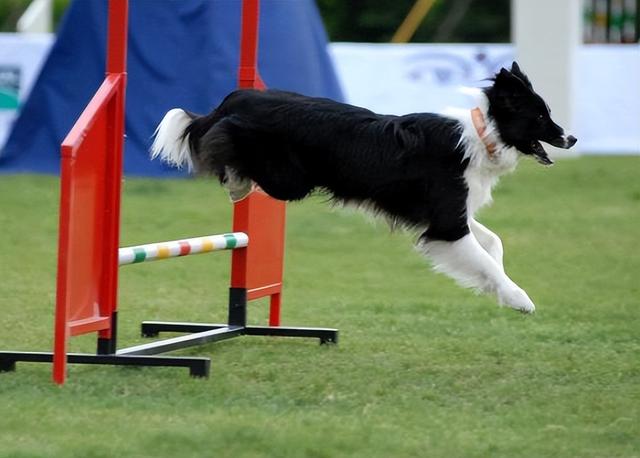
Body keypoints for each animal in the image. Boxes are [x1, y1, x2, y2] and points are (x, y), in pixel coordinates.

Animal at [152, 62, 576, 314]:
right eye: (540, 117)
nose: (571, 138)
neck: (483, 135)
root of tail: (238, 97)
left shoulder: (451, 213)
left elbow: (493, 245)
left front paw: (498, 287)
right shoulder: (446, 225)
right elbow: (484, 257)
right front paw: (519, 298)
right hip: (289, 178)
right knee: (223, 146)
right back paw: (238, 184)